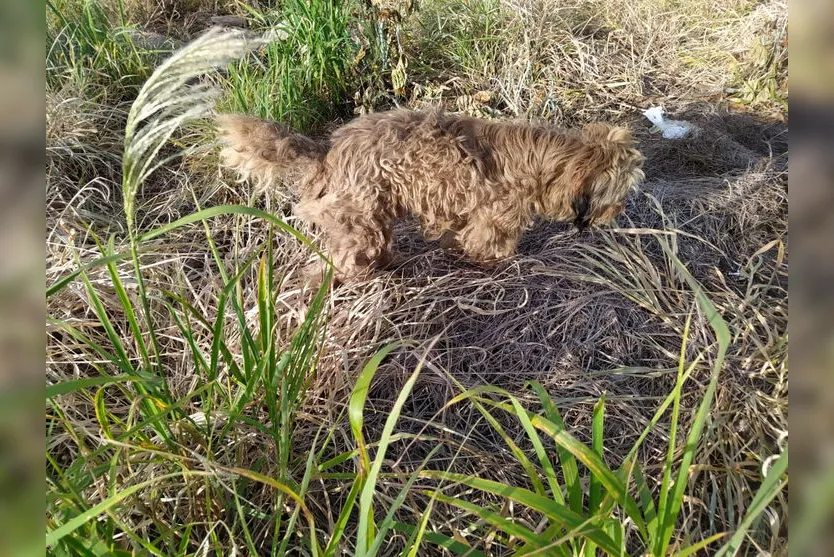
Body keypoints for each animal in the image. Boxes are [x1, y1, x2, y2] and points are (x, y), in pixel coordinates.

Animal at [214, 108, 644, 280]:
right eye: (621, 191)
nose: (620, 212)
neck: (546, 161)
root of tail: (328, 151)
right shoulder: (494, 220)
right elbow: (489, 247)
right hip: (360, 222)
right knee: (340, 262)